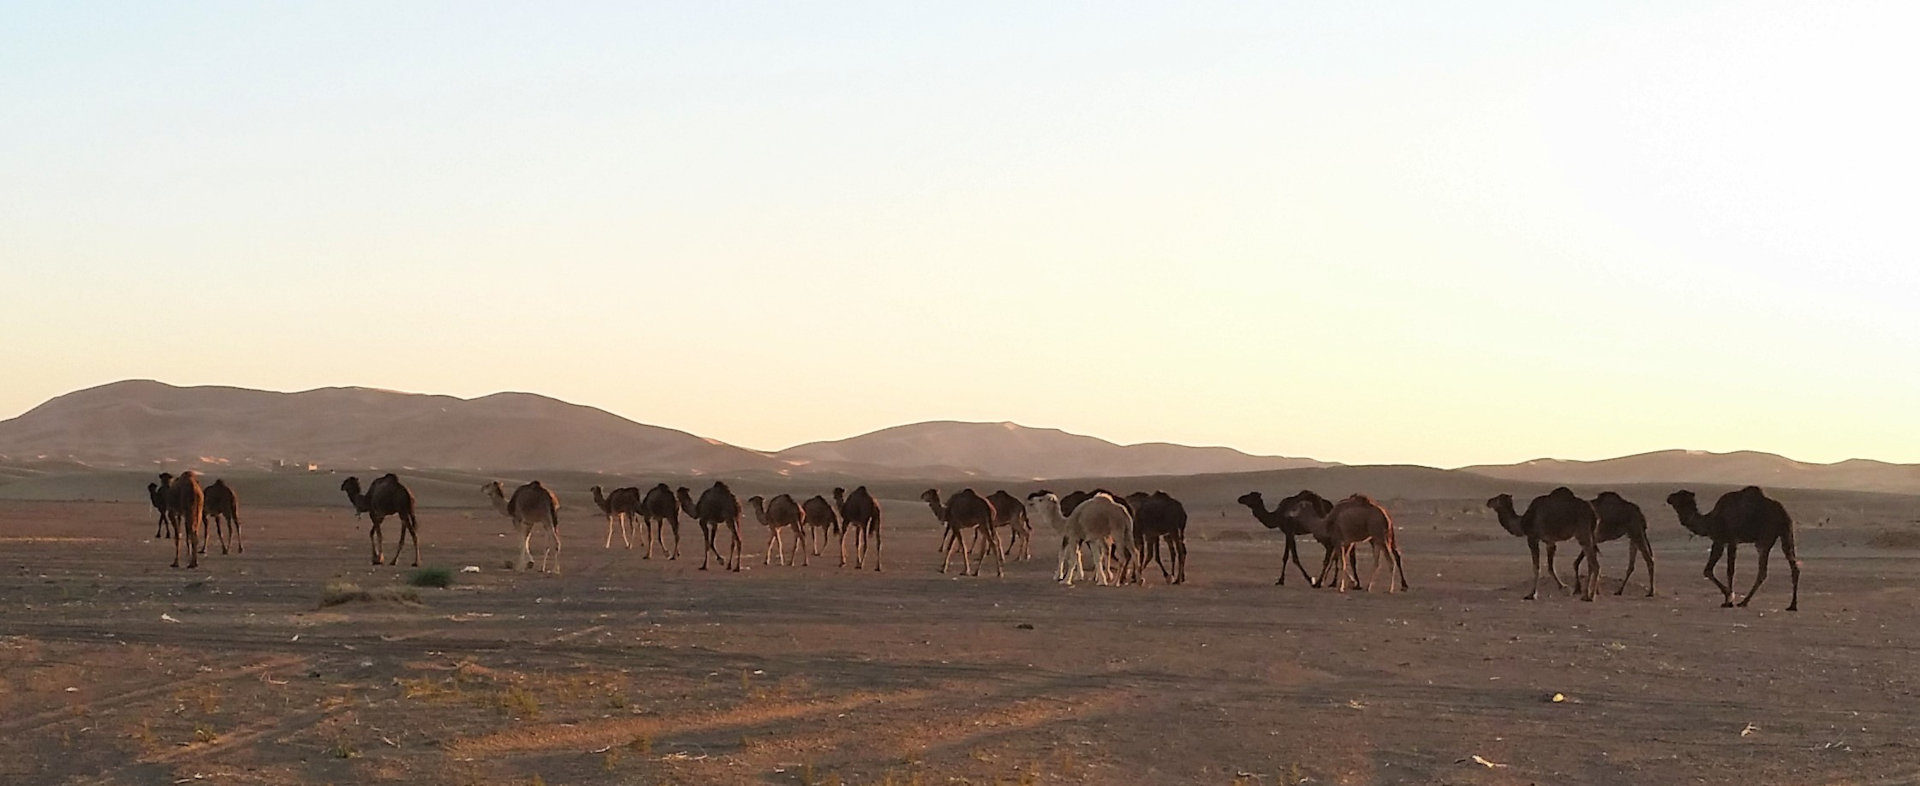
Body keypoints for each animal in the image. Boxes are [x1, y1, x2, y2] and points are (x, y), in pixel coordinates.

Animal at [1274, 490, 1413, 595]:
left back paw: (1390, 589)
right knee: (1377, 562)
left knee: (1391, 560)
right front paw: (1351, 583)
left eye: (1296, 507)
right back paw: (1368, 587)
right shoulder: (1345, 542)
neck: (1325, 523)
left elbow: (1341, 563)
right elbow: (1340, 561)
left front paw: (1340, 586)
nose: (1287, 514)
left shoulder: (1338, 541)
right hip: (1377, 538)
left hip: (1380, 536)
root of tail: (1386, 516)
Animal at [1666, 486, 1797, 611]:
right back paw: (1791, 605)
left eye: (1679, 494)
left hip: (1765, 538)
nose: (1669, 497)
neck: (1711, 521)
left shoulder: (1726, 540)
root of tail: (1784, 513)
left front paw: (1729, 599)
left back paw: (1745, 602)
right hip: (1786, 533)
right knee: (1791, 566)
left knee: (1763, 571)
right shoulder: (1723, 541)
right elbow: (1711, 570)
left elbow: (1726, 570)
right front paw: (1728, 598)